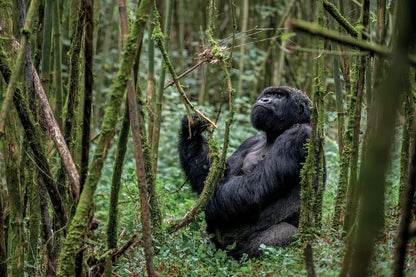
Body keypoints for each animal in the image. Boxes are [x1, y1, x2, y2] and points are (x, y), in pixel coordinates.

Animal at [177, 86, 320, 258]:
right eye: (268, 94)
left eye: (279, 96)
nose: (264, 100)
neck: (274, 134)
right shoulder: (249, 142)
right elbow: (214, 176)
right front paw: (192, 128)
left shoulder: (299, 136)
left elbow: (254, 188)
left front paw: (206, 203)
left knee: (284, 234)